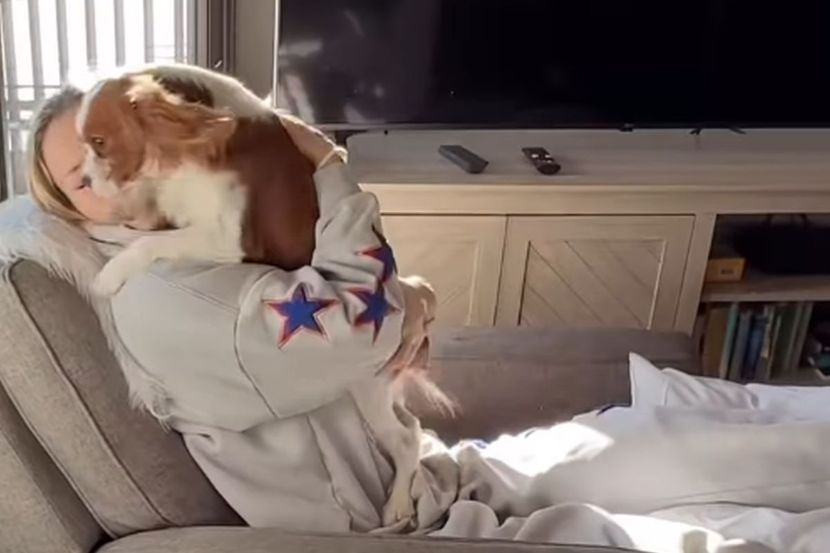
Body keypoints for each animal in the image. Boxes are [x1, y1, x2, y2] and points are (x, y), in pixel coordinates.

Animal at [77, 64, 453, 528]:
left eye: (99, 142)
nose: (82, 182)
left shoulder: (227, 237)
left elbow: (151, 242)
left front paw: (109, 273)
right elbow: (137, 232)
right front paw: (98, 231)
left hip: (368, 387)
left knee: (406, 439)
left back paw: (398, 503)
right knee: (412, 428)